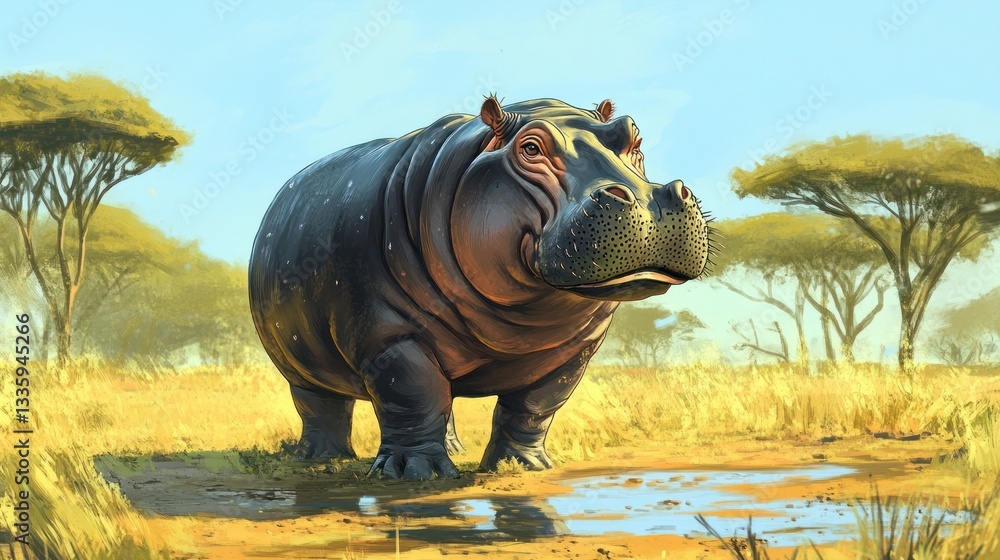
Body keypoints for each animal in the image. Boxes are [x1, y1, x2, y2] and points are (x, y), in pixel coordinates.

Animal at [249, 97, 711, 480]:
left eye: (633, 135)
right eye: (530, 148)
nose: (650, 200)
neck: (524, 317)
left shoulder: (575, 351)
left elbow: (535, 406)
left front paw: (523, 466)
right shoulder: (390, 336)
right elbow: (412, 394)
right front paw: (413, 473)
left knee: (447, 401)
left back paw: (453, 449)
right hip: (298, 363)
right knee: (321, 406)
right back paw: (322, 458)